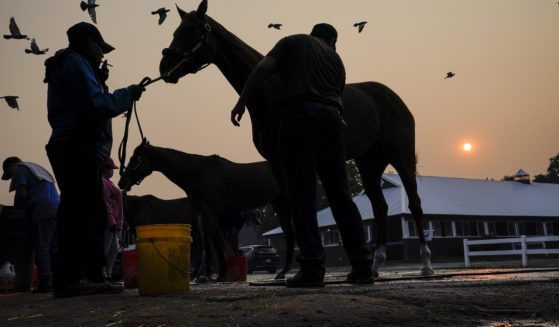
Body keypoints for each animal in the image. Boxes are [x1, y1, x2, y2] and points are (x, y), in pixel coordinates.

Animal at [117, 140, 294, 280]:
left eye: (136, 159)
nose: (121, 182)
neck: (197, 172)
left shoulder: (208, 212)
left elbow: (211, 240)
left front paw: (214, 274)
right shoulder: (206, 215)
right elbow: (212, 240)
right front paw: (218, 273)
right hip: (280, 204)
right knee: (289, 232)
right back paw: (283, 272)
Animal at [160, 0, 436, 278]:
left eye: (190, 30)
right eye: (175, 30)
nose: (164, 67)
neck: (271, 90)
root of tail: (394, 98)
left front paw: (305, 265)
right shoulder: (277, 161)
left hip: (401, 156)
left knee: (415, 204)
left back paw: (426, 264)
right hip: (369, 163)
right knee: (380, 208)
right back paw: (376, 265)